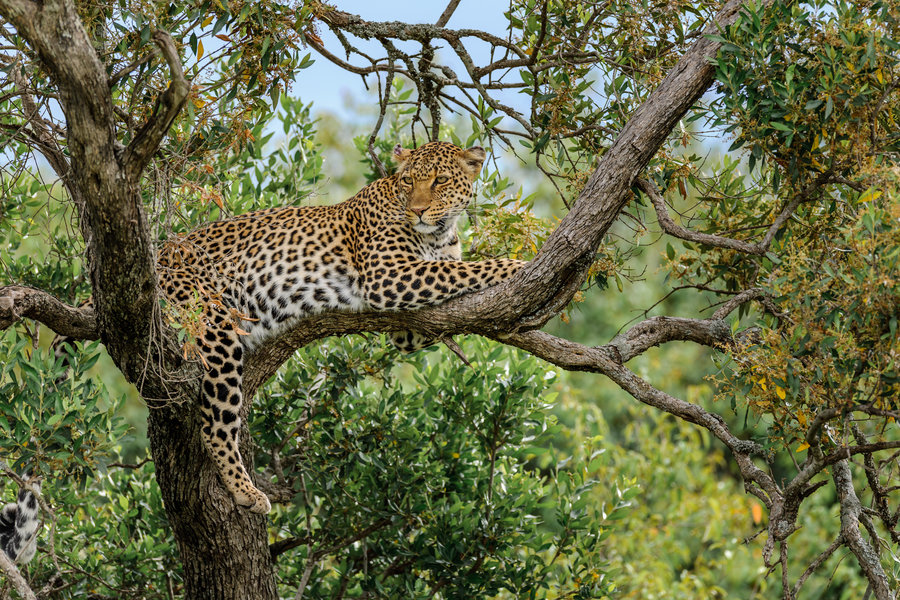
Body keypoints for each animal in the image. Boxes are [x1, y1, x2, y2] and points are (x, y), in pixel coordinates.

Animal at [151, 141, 524, 510]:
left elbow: (453, 279)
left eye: (441, 180)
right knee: (215, 423)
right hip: (212, 324)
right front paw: (518, 266)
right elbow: (465, 269)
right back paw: (246, 490)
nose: (418, 211)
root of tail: (160, 254)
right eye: (407, 181)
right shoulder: (388, 275)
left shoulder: (405, 328)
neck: (440, 234)